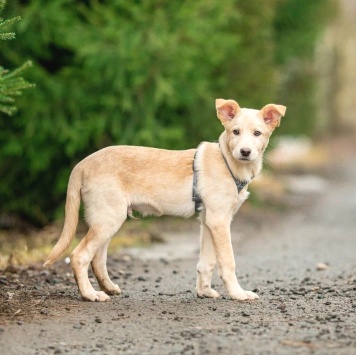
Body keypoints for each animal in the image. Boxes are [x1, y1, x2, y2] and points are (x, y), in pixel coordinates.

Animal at [44, 99, 286, 304]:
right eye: (235, 131)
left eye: (257, 133)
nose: (245, 152)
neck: (228, 161)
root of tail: (83, 163)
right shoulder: (219, 220)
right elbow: (227, 261)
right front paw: (237, 293)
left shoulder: (208, 221)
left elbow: (207, 261)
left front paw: (204, 292)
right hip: (109, 218)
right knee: (79, 256)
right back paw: (90, 294)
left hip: (106, 219)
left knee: (97, 259)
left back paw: (108, 288)